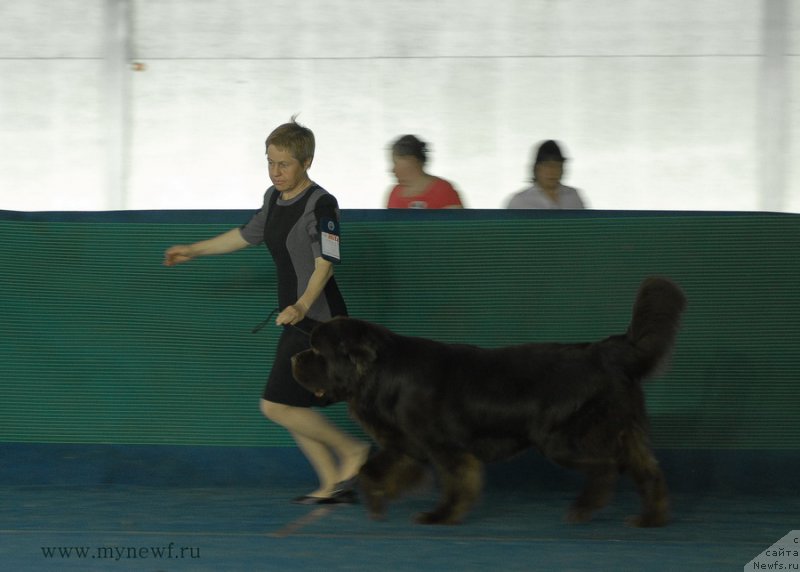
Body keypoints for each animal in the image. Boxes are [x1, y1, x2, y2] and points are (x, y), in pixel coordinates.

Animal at [294, 278, 688, 528]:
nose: (294, 360)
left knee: (607, 466)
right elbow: (370, 469)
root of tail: (606, 351)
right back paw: (650, 519)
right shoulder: (406, 444)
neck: (382, 371)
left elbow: (457, 483)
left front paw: (441, 516)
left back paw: (584, 508)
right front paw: (378, 502)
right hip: (625, 432)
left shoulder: (443, 446)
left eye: (317, 351)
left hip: (560, 438)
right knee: (648, 472)